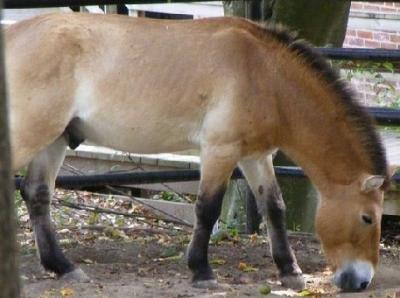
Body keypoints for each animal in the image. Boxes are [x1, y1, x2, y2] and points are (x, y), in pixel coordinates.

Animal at [4, 13, 390, 292]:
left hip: (54, 139)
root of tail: (11, 37)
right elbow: (207, 209)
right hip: (30, 135)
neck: (263, 72)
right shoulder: (220, 150)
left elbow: (274, 208)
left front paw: (290, 271)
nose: (361, 281)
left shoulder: (255, 156)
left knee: (37, 194)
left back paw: (64, 267)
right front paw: (202, 272)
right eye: (367, 218)